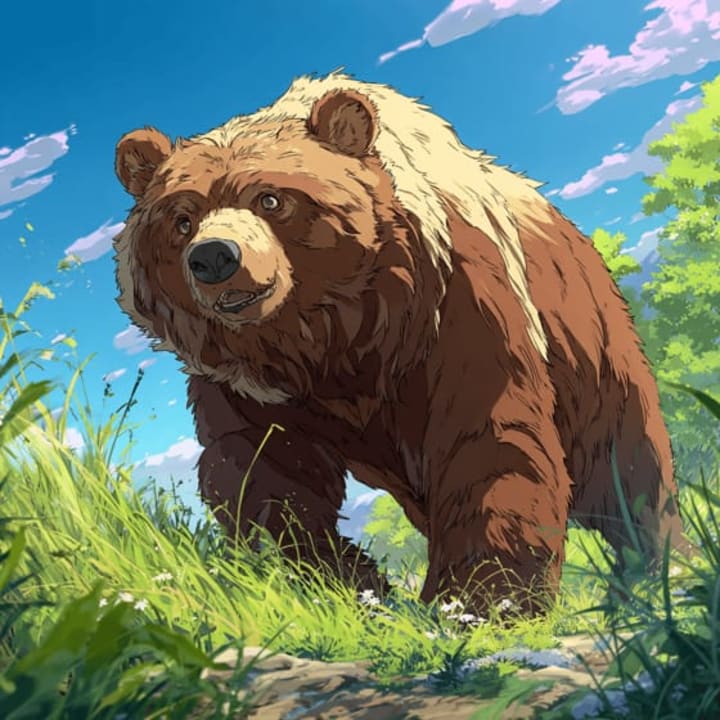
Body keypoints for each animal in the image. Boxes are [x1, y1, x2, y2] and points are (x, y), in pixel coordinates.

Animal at [113, 71, 686, 616]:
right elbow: (263, 471)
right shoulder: (248, 384)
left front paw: (483, 600)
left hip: (593, 343)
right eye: (181, 219)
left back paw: (655, 572)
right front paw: (347, 582)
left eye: (271, 198)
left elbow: (490, 437)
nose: (213, 256)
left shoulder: (456, 306)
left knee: (625, 462)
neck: (333, 340)